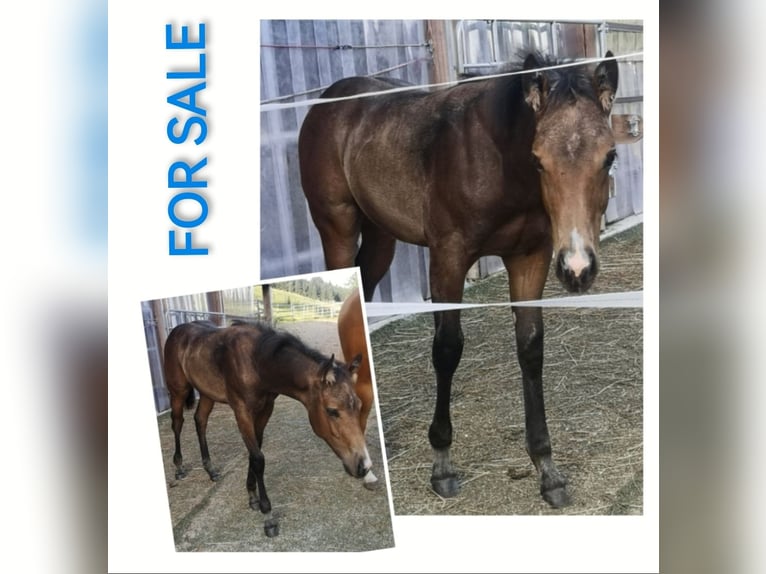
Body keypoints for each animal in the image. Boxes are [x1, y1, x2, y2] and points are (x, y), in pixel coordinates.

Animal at [163, 319, 368, 537]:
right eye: (332, 411)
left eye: (359, 405)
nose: (363, 466)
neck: (256, 362)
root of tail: (178, 330)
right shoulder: (242, 411)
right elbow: (258, 459)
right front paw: (267, 515)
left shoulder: (266, 409)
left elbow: (255, 452)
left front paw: (252, 496)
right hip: (178, 391)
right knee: (177, 422)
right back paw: (179, 467)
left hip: (207, 393)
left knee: (200, 420)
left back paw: (210, 469)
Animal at [298, 51, 623, 508]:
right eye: (538, 158)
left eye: (609, 156)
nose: (577, 268)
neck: (499, 162)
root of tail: (328, 99)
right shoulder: (448, 258)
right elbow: (448, 348)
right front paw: (442, 465)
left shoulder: (530, 258)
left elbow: (531, 348)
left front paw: (548, 470)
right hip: (337, 225)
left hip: (380, 235)